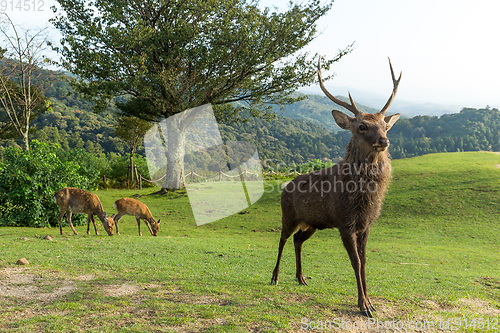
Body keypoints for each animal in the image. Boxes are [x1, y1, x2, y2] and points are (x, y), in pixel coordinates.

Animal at [270, 57, 402, 316]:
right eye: (362, 126)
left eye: (385, 125)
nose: (384, 140)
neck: (362, 200)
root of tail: (285, 186)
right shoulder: (344, 222)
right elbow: (356, 261)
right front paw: (363, 305)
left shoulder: (365, 225)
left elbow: (364, 261)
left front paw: (370, 302)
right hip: (288, 215)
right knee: (281, 238)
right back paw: (275, 277)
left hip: (312, 224)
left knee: (297, 239)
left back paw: (301, 278)